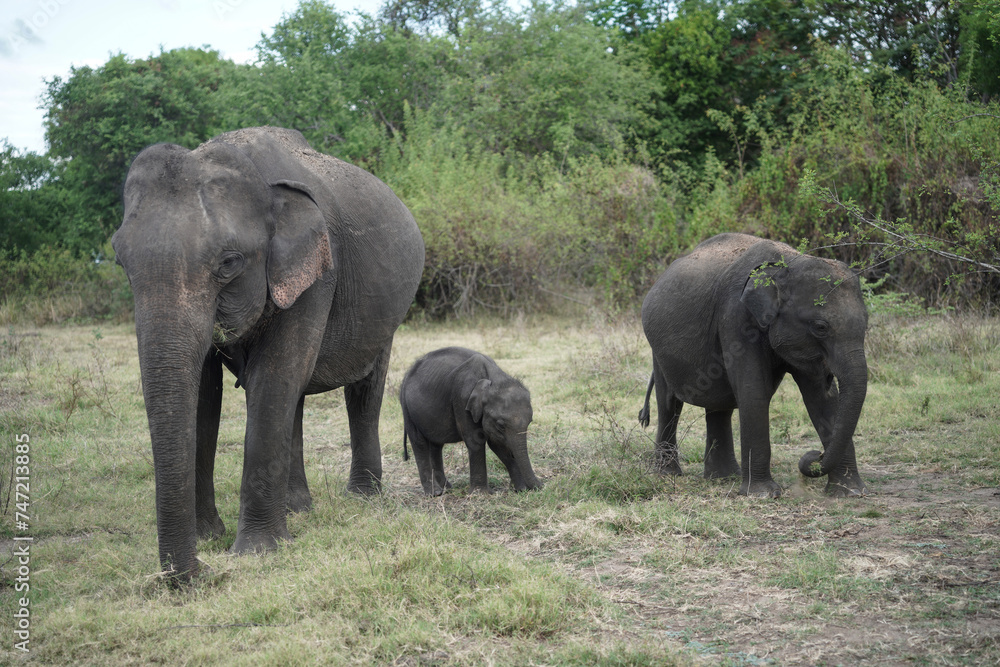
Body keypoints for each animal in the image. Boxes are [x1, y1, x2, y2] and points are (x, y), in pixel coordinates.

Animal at [111, 126, 425, 582]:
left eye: (229, 262)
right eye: (120, 260)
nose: (198, 574)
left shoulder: (320, 273)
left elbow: (273, 376)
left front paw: (257, 552)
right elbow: (206, 395)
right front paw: (210, 537)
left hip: (387, 314)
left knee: (363, 391)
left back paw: (361, 498)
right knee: (296, 397)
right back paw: (298, 510)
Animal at [399, 347, 543, 496]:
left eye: (530, 421)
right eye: (500, 425)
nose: (541, 485)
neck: (493, 379)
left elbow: (497, 443)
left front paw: (521, 490)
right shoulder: (462, 399)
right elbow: (475, 440)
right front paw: (481, 494)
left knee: (436, 445)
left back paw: (447, 487)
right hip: (407, 408)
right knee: (419, 442)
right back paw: (435, 493)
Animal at [637, 233, 869, 498]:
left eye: (866, 324)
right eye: (820, 327)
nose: (814, 456)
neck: (787, 264)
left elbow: (822, 399)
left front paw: (851, 492)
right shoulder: (736, 317)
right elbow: (753, 391)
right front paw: (764, 494)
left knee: (719, 406)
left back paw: (724, 477)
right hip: (657, 349)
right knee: (669, 403)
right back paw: (668, 475)